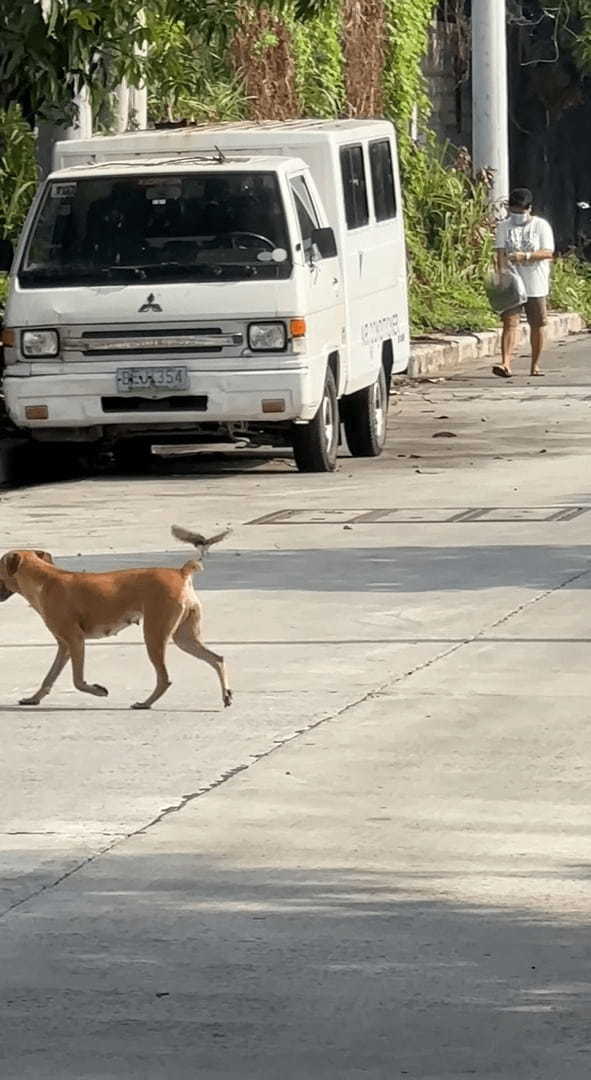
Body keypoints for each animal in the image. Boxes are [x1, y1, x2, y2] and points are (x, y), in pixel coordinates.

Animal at [0, 527, 233, 712]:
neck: (44, 579)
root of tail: (181, 573)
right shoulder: (64, 645)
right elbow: (49, 677)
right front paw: (34, 698)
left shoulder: (75, 640)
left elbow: (77, 680)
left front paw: (98, 690)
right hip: (184, 637)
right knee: (216, 659)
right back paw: (226, 695)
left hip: (154, 635)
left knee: (164, 678)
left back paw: (145, 703)